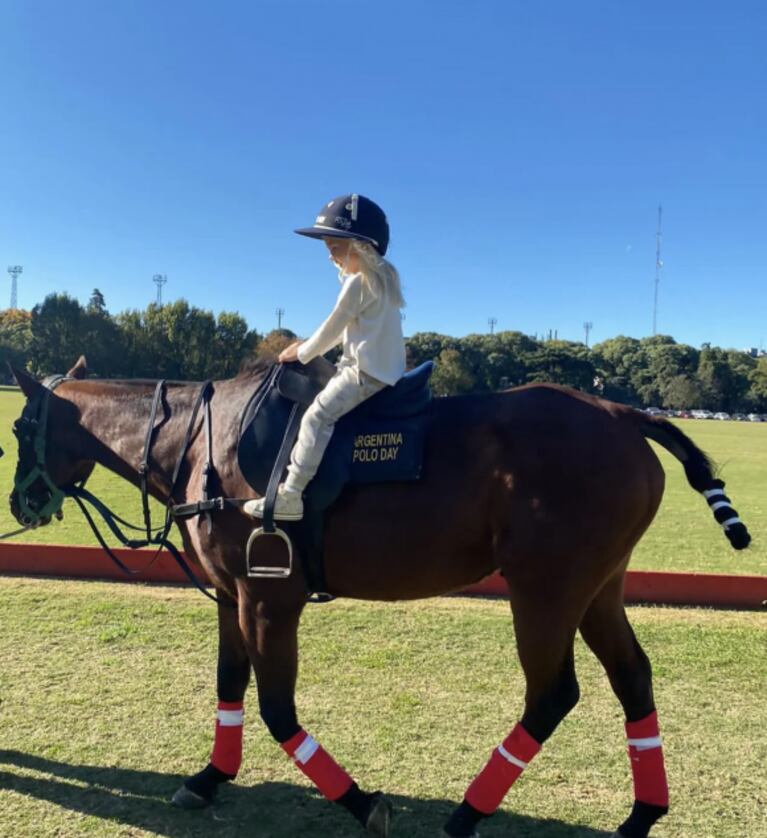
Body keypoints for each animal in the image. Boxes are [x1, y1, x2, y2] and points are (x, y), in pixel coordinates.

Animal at [6, 358, 752, 836]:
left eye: (16, 430)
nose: (19, 503)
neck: (200, 442)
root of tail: (621, 412)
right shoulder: (229, 594)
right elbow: (228, 684)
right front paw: (209, 777)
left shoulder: (269, 598)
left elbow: (276, 708)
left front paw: (362, 802)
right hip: (598, 584)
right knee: (632, 677)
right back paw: (639, 817)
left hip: (544, 587)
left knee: (552, 694)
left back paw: (466, 815)